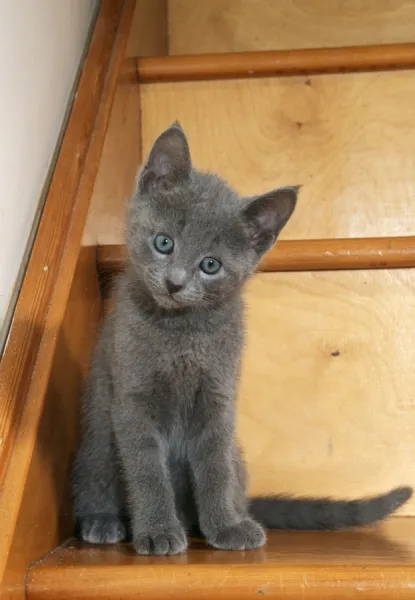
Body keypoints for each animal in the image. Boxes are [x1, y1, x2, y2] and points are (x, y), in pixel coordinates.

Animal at [73, 123, 412, 556]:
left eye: (210, 265)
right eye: (164, 242)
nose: (174, 282)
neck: (182, 333)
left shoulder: (218, 398)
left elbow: (215, 466)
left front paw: (226, 525)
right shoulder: (131, 397)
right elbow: (147, 469)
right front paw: (157, 531)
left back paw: (225, 518)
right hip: (97, 443)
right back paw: (104, 521)